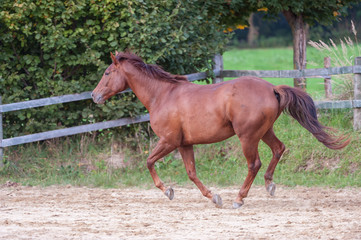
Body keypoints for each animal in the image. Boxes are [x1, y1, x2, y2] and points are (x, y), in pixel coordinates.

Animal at [90, 52, 348, 208]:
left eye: (107, 73)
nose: (94, 96)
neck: (162, 95)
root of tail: (272, 88)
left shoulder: (169, 141)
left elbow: (149, 162)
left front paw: (168, 191)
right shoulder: (184, 144)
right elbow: (191, 173)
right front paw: (213, 197)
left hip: (248, 137)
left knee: (254, 164)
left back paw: (239, 198)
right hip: (264, 132)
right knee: (278, 149)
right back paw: (269, 185)